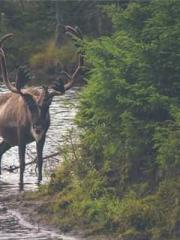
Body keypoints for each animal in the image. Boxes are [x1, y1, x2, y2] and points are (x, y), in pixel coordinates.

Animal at [0, 25, 83, 189]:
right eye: (28, 105)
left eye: (48, 104)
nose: (37, 127)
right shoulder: (20, 136)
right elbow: (22, 163)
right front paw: (21, 184)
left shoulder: (42, 136)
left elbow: (39, 161)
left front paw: (39, 182)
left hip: (8, 140)